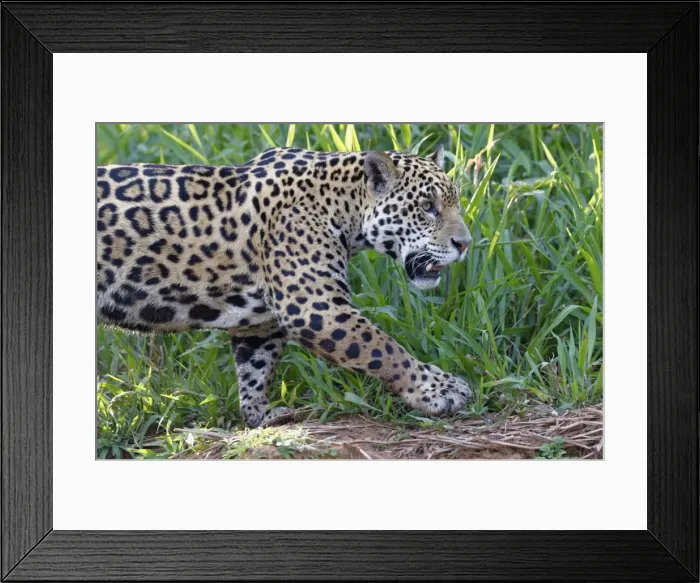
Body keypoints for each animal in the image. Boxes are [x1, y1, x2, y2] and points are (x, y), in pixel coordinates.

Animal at [96, 145, 473, 428]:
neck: (343, 203)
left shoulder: (258, 323)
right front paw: (440, 390)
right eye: (427, 207)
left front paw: (260, 416)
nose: (465, 243)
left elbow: (255, 369)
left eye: (453, 203)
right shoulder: (317, 309)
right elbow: (384, 349)